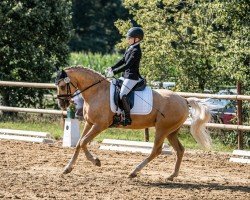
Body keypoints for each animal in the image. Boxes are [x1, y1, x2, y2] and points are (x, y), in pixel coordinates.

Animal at [56, 66, 211, 180]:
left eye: (63, 86)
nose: (62, 104)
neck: (97, 92)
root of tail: (184, 100)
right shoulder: (89, 122)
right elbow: (79, 143)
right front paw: (67, 168)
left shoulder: (100, 125)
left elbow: (83, 142)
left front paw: (96, 161)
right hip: (171, 132)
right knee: (180, 150)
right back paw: (172, 175)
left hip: (162, 129)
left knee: (156, 151)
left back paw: (134, 172)